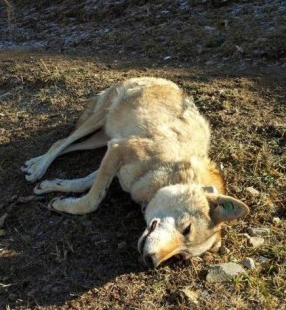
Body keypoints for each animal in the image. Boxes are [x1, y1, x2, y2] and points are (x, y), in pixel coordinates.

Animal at [21, 77, 248, 266]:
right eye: (187, 229)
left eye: (181, 256)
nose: (151, 262)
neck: (169, 170)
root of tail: (159, 78)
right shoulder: (117, 149)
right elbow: (92, 201)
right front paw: (62, 200)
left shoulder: (114, 158)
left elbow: (83, 184)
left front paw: (54, 190)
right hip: (99, 122)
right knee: (61, 142)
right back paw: (38, 168)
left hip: (101, 139)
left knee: (69, 146)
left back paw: (34, 164)